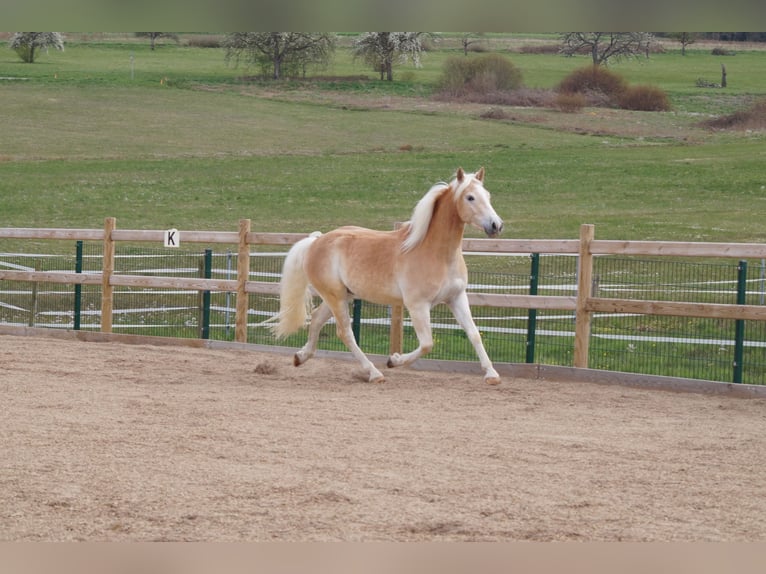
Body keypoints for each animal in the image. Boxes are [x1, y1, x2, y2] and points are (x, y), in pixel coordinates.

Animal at [271, 167, 504, 384]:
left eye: (488, 195)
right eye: (470, 197)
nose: (496, 225)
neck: (437, 253)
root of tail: (316, 241)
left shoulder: (456, 297)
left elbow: (474, 334)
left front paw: (492, 375)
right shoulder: (417, 305)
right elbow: (427, 344)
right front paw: (394, 360)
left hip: (341, 296)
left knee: (317, 318)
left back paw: (301, 357)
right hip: (335, 296)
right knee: (345, 332)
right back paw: (375, 373)